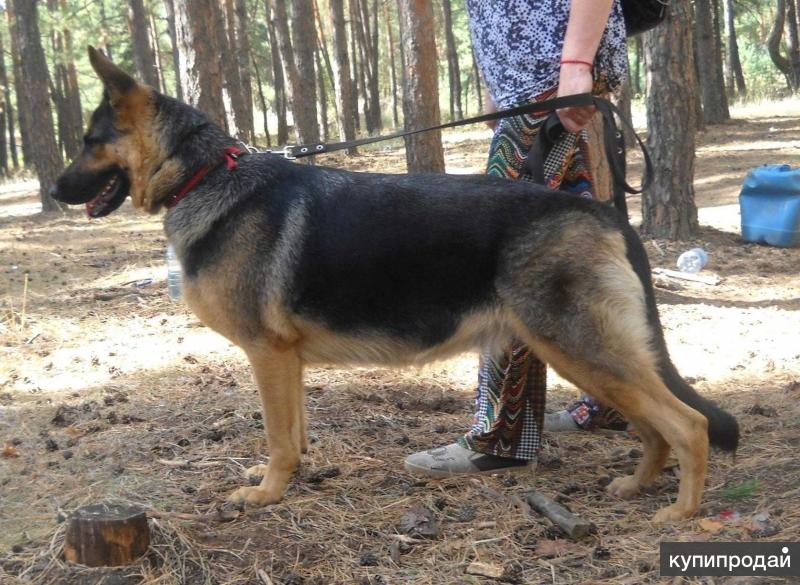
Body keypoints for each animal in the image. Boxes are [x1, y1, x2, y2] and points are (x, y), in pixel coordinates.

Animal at [51, 49, 736, 520]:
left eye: (88, 142)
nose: (53, 191)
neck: (203, 175)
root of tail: (606, 213)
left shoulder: (267, 356)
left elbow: (277, 437)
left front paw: (267, 494)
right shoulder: (286, 362)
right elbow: (294, 433)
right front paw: (292, 480)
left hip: (581, 351)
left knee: (686, 425)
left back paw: (679, 512)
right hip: (580, 356)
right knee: (654, 428)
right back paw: (638, 486)